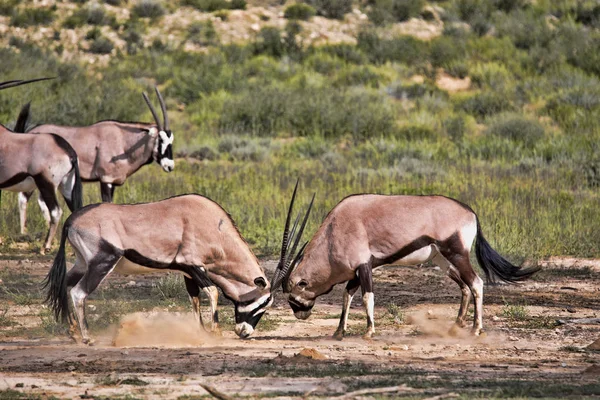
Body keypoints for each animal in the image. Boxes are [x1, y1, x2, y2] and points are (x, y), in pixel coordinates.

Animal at [18, 88, 173, 220]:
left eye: (171, 140)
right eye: (160, 139)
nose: (170, 166)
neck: (123, 141)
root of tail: (28, 132)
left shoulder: (113, 182)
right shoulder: (106, 180)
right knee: (24, 198)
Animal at [44, 188, 312, 344]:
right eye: (264, 302)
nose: (245, 332)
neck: (214, 227)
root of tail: (71, 220)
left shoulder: (187, 272)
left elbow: (194, 299)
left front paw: (199, 332)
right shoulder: (195, 266)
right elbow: (212, 291)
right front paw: (214, 331)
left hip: (82, 262)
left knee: (66, 285)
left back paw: (73, 331)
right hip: (102, 261)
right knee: (79, 292)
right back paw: (87, 337)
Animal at [278, 194, 540, 340]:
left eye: (292, 296)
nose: (301, 314)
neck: (334, 232)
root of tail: (470, 212)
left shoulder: (364, 267)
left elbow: (367, 297)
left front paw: (369, 331)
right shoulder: (357, 271)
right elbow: (347, 296)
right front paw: (338, 332)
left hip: (456, 254)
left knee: (476, 283)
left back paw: (476, 329)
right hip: (443, 260)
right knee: (464, 286)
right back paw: (456, 326)